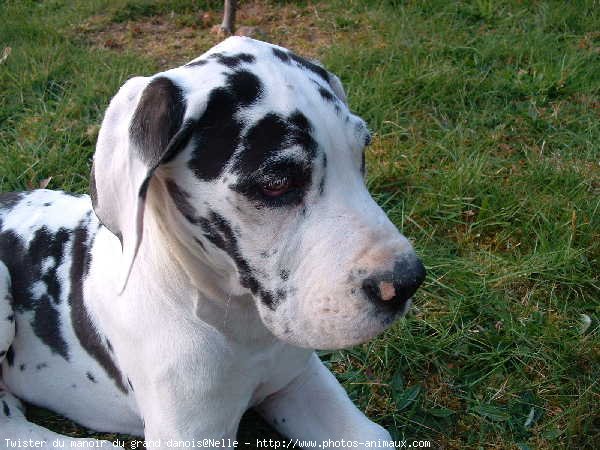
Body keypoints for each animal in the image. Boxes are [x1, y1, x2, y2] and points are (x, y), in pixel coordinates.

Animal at [0, 37, 426, 446]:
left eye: (362, 153)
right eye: (276, 183)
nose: (408, 281)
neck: (240, 327)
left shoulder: (298, 383)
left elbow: (376, 438)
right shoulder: (191, 434)